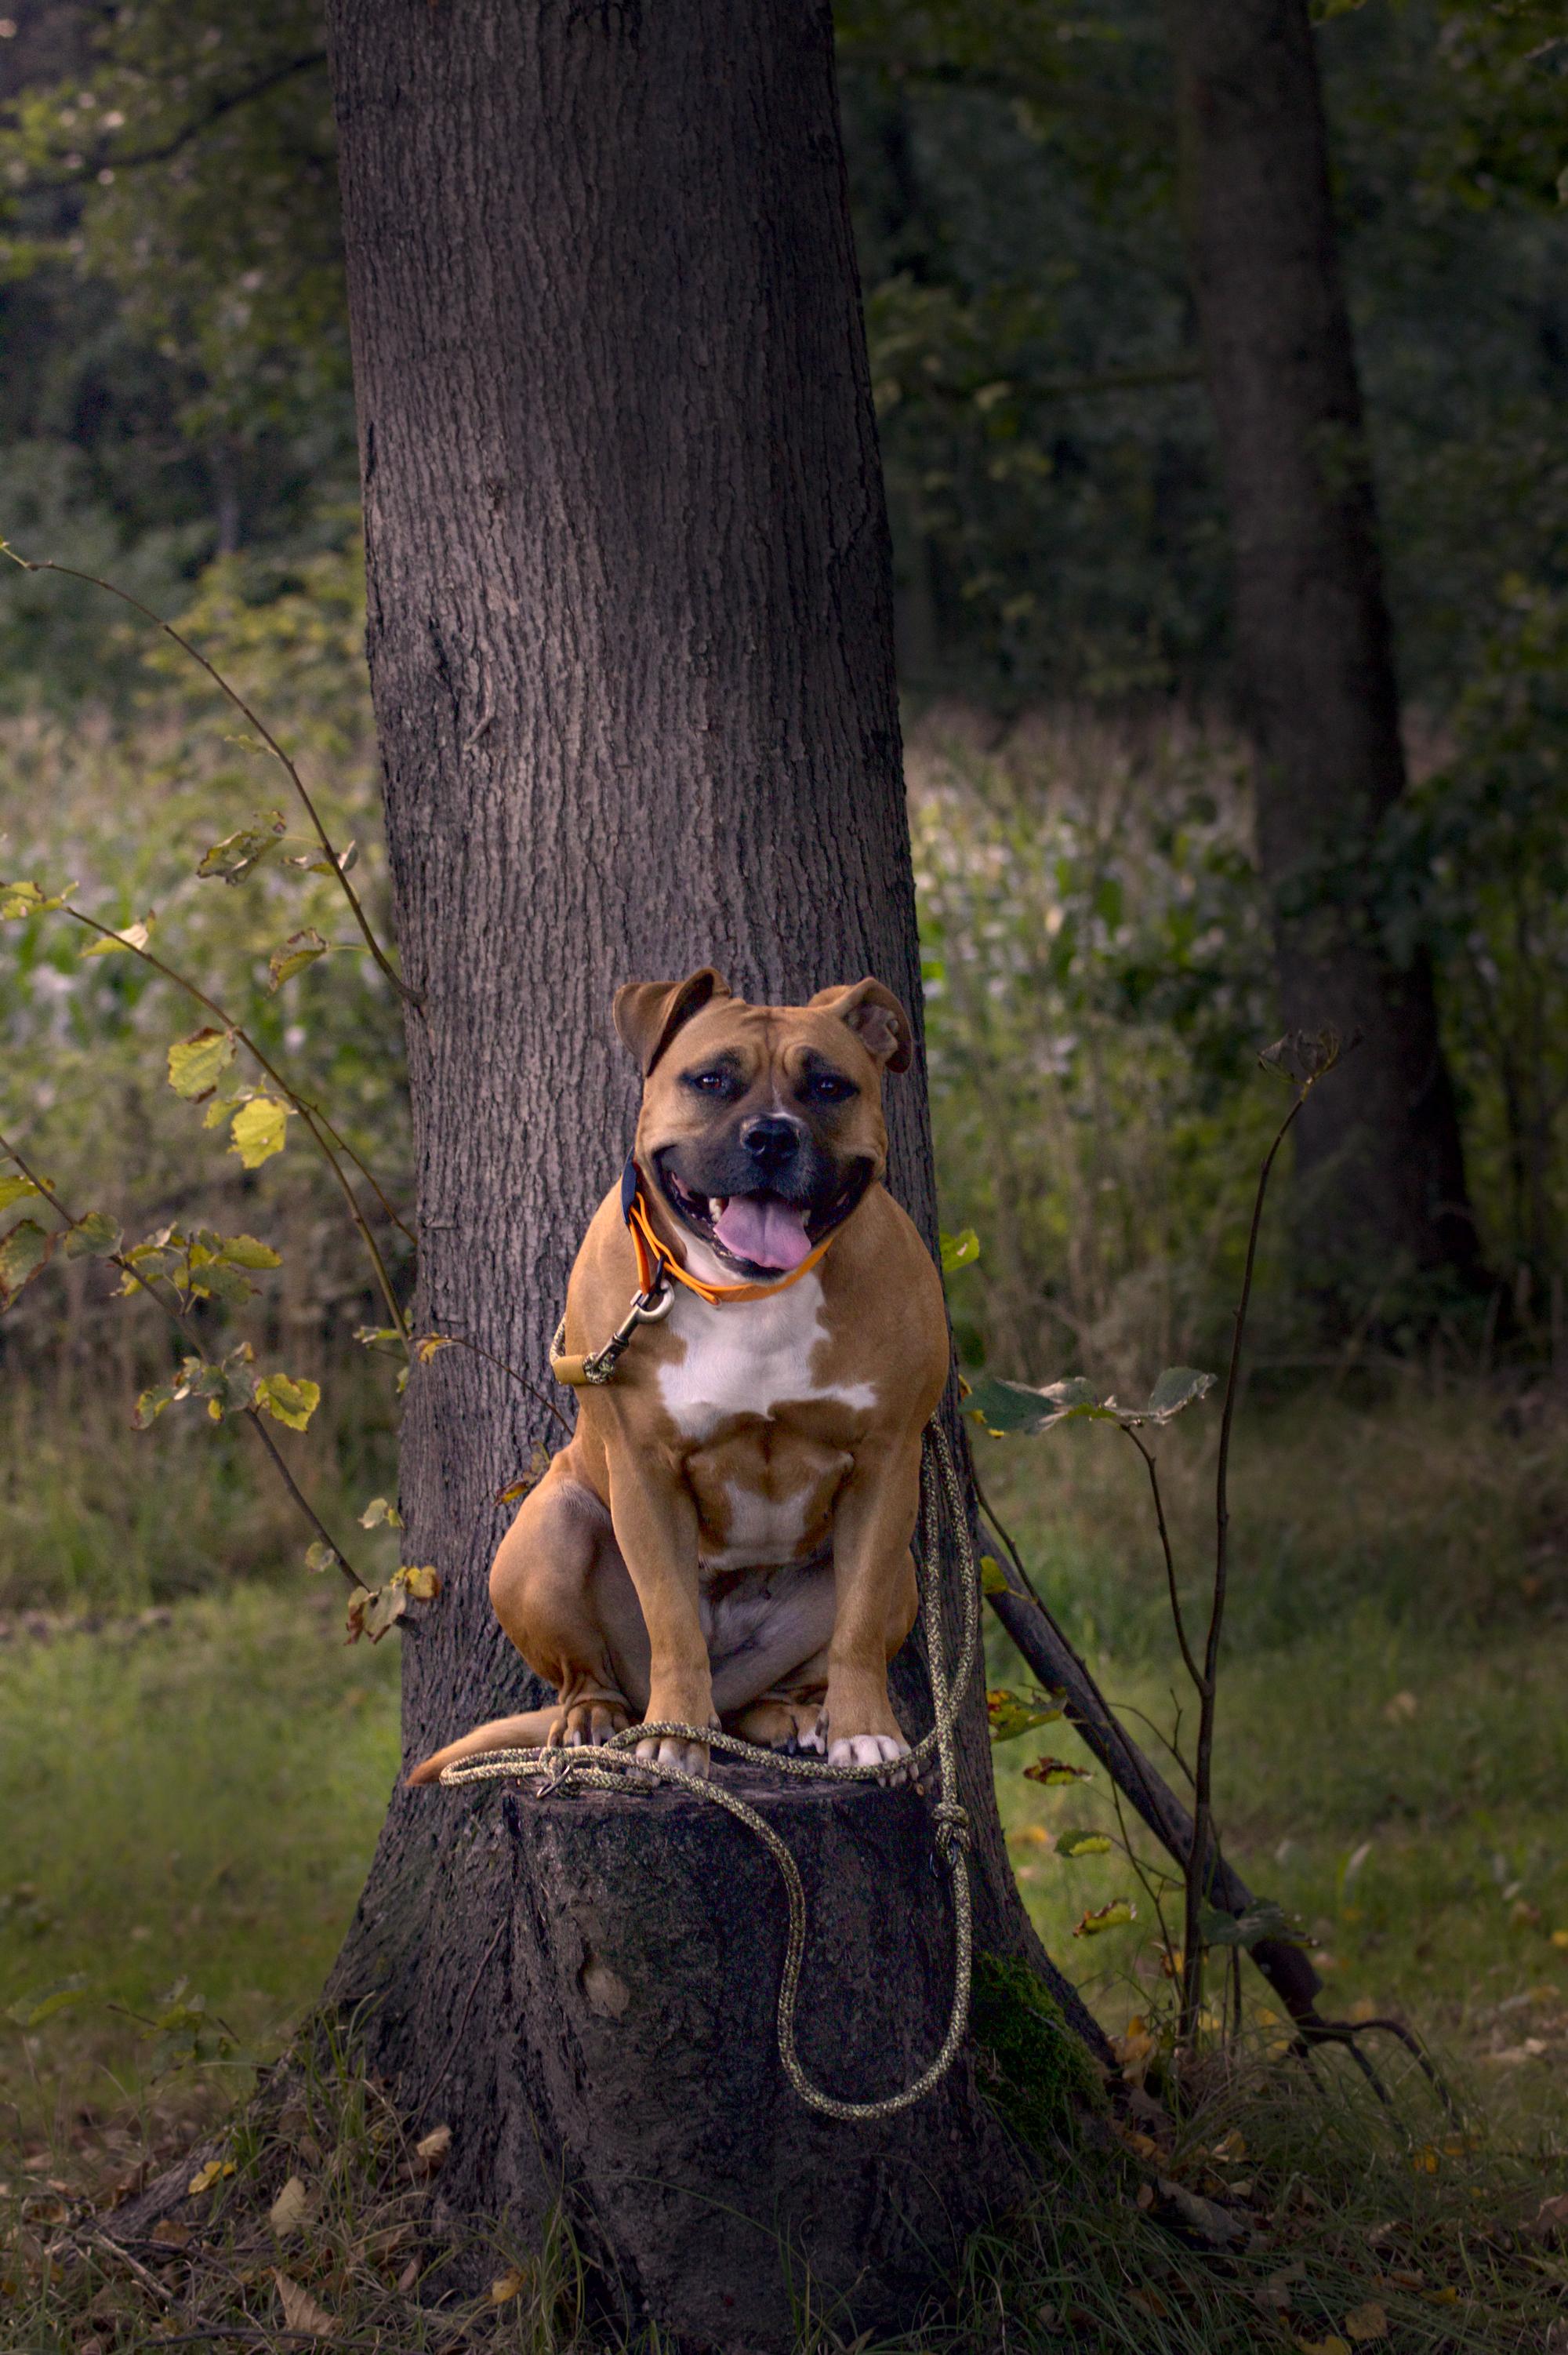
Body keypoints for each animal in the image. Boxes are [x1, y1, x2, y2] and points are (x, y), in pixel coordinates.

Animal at [405, 970, 942, 1780]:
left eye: (829, 1086)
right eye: (711, 1079)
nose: (772, 1135)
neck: (747, 1291)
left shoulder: (887, 1464)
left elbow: (856, 1625)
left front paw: (867, 1734)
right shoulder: (645, 1472)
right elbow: (674, 1621)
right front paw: (676, 1738)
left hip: (901, 1578)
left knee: (783, 1680)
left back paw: (794, 1716)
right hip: (548, 1530)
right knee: (590, 1674)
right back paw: (597, 1719)